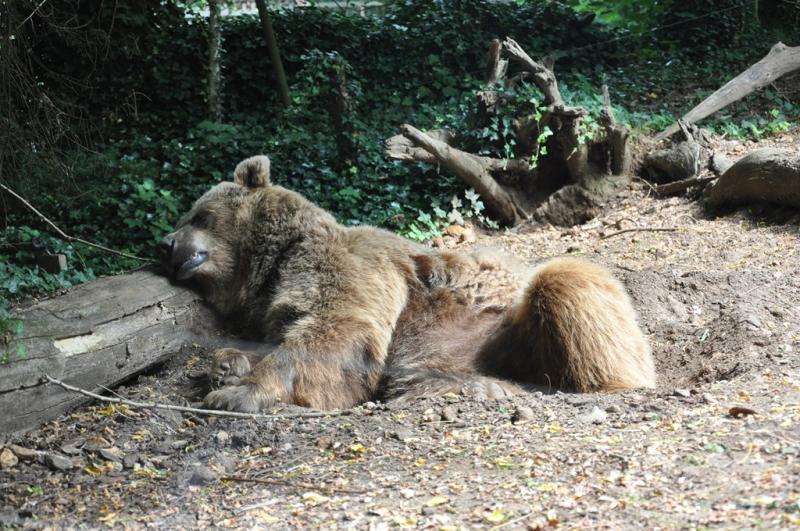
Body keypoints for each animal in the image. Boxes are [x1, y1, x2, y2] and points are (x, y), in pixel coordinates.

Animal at [159, 155, 655, 412]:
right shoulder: (276, 305)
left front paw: (236, 392)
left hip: (509, 324)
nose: (166, 243)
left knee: (566, 282)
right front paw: (227, 364)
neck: (276, 261)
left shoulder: (350, 265)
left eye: (196, 214)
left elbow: (339, 329)